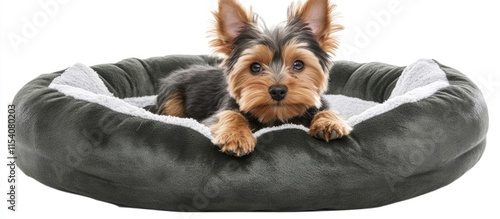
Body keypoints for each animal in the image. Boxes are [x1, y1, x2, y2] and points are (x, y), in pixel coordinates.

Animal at [156, 0, 352, 157]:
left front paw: (329, 122)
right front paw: (236, 136)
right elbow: (230, 115)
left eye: (298, 64)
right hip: (172, 94)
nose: (278, 90)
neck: (276, 118)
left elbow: (326, 110)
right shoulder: (218, 113)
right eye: (255, 67)